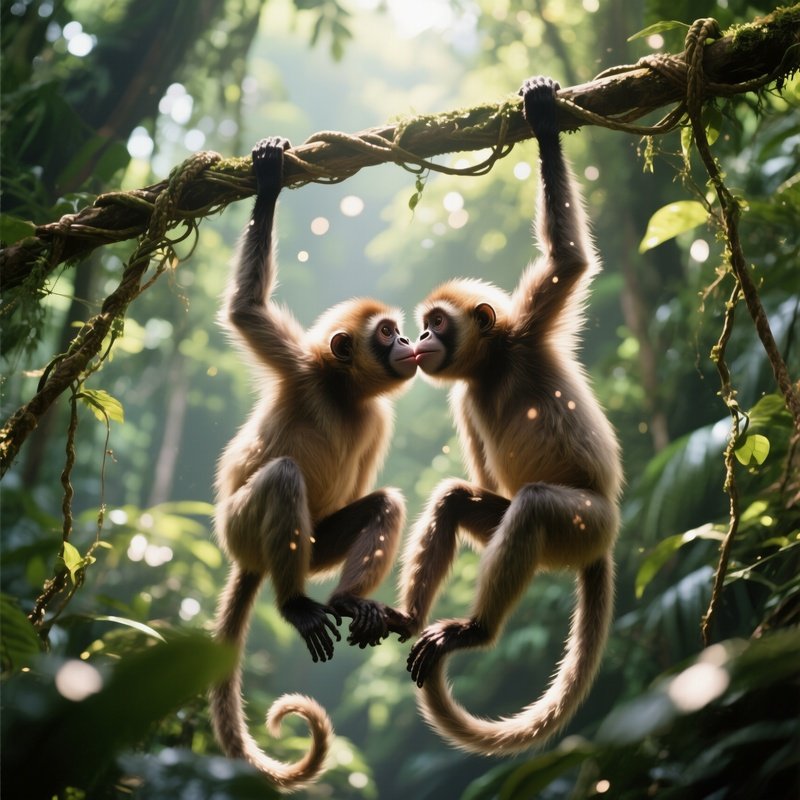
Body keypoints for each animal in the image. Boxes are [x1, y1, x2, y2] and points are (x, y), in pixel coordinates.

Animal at [209, 136, 416, 790]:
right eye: (387, 333)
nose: (409, 344)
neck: (343, 393)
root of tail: (252, 561)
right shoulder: (301, 365)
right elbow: (246, 312)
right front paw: (269, 179)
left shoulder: (378, 418)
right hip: (241, 528)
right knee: (282, 477)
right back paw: (294, 605)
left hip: (316, 545)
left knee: (382, 504)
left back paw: (349, 602)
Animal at [399, 76, 623, 756]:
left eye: (437, 322)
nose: (423, 336)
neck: (492, 366)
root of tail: (602, 544)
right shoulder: (464, 395)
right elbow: (475, 483)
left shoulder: (528, 328)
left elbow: (569, 263)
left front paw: (543, 115)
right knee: (461, 500)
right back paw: (408, 618)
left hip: (585, 524)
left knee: (535, 506)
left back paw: (475, 631)